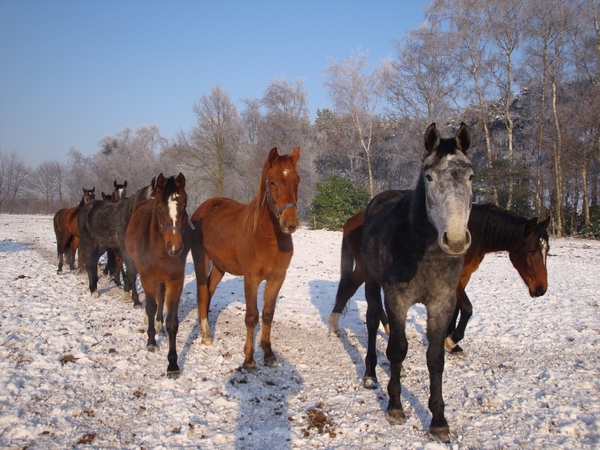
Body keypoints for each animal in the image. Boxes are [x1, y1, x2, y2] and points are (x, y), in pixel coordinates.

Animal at [77, 178, 156, 306]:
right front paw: (134, 299)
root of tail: (86, 208)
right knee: (89, 262)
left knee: (94, 260)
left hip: (102, 244)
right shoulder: (126, 251)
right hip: (87, 240)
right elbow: (132, 273)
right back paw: (93, 290)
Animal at [125, 174, 191, 378]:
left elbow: (172, 322)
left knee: (161, 298)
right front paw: (151, 342)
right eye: (160, 207)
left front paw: (173, 364)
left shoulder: (175, 282)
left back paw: (159, 323)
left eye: (184, 204)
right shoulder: (147, 278)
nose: (175, 248)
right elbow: (151, 307)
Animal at [190, 146, 300, 370]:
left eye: (297, 181)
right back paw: (206, 334)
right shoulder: (251, 279)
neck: (266, 237)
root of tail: (203, 208)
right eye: (272, 182)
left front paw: (268, 353)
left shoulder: (277, 278)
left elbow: (267, 314)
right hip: (201, 260)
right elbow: (251, 317)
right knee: (202, 291)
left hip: (219, 266)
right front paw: (248, 358)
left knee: (209, 290)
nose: (290, 223)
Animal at [330, 201, 552, 356]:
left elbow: (456, 310)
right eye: (530, 249)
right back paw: (335, 323)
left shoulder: (463, 277)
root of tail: (352, 220)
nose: (541, 289)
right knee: (349, 286)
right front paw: (452, 340)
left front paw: (450, 341)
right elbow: (467, 308)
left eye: (547, 249)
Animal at [360, 123, 474, 442]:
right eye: (429, 176)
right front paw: (395, 407)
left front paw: (438, 421)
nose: (455, 240)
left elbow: (435, 358)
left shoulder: (442, 303)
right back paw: (371, 374)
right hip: (371, 283)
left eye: (471, 176)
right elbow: (398, 349)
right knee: (372, 321)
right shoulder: (397, 298)